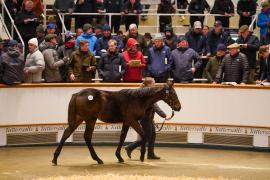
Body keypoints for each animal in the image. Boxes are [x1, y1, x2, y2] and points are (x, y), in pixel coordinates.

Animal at [51, 81, 181, 165]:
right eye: (173, 93)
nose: (178, 107)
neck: (138, 99)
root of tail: (77, 94)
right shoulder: (132, 121)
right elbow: (143, 135)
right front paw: (141, 156)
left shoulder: (126, 122)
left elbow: (122, 138)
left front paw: (119, 157)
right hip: (90, 119)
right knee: (86, 136)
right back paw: (97, 159)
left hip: (79, 119)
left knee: (68, 134)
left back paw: (55, 159)